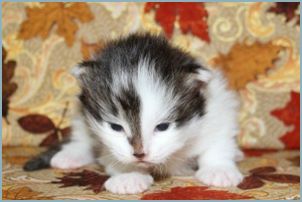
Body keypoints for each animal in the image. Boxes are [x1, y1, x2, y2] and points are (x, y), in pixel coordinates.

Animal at [23, 32, 243, 194]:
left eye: (163, 127)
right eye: (115, 127)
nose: (139, 154)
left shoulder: (217, 106)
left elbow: (219, 140)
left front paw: (219, 170)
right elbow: (112, 153)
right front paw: (128, 176)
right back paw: (70, 155)